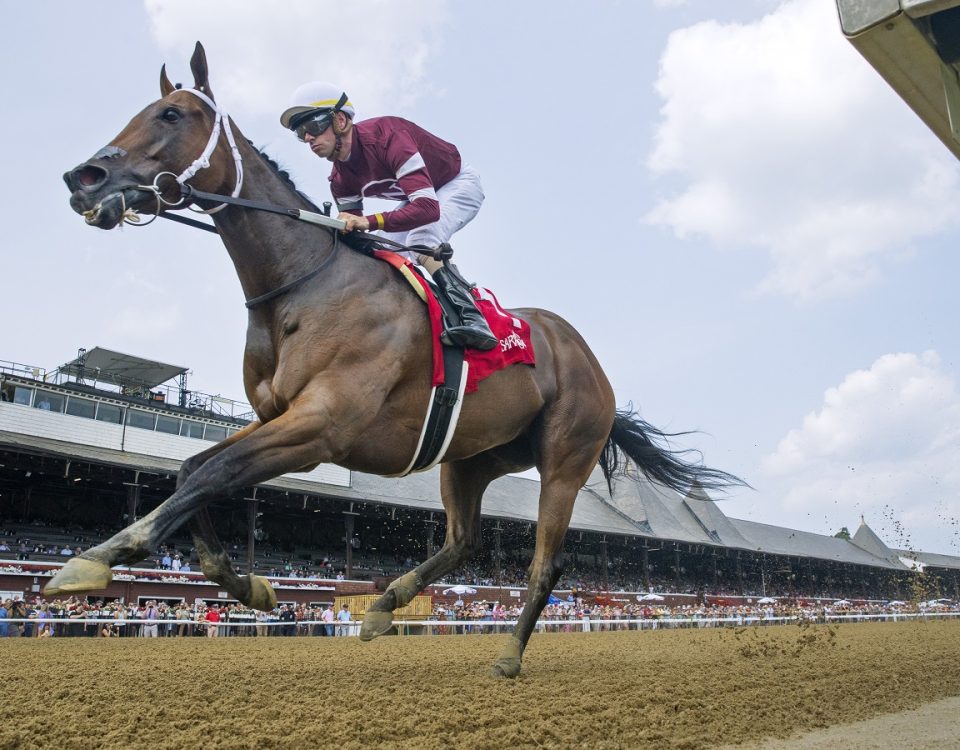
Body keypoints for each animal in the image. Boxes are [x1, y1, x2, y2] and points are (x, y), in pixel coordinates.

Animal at [52, 42, 744, 680]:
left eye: (170, 114)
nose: (83, 178)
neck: (304, 283)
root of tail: (590, 362)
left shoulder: (322, 426)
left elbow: (210, 475)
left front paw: (97, 557)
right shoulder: (277, 416)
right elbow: (192, 469)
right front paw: (250, 584)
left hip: (564, 460)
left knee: (545, 563)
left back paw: (508, 656)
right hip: (473, 457)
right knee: (463, 541)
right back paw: (386, 604)